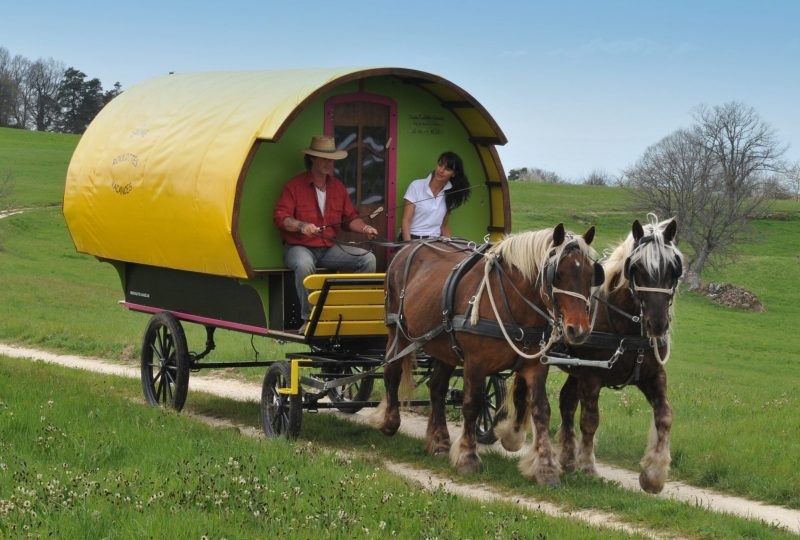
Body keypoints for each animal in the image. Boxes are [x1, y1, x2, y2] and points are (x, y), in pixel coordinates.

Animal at [374, 224, 600, 486]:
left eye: (590, 275)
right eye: (558, 274)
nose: (579, 330)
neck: (514, 301)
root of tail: (406, 248)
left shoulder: (535, 365)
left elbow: (541, 409)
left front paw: (546, 469)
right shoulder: (475, 363)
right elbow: (472, 404)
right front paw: (467, 458)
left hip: (444, 345)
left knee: (437, 388)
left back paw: (439, 441)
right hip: (398, 334)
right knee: (392, 373)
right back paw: (390, 422)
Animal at [496, 213, 684, 492]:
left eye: (673, 269)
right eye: (637, 268)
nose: (658, 324)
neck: (625, 325)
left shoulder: (652, 375)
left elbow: (665, 416)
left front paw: (654, 474)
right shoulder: (592, 377)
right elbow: (590, 420)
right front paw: (587, 466)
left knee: (565, 401)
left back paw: (566, 456)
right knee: (524, 390)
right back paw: (515, 436)